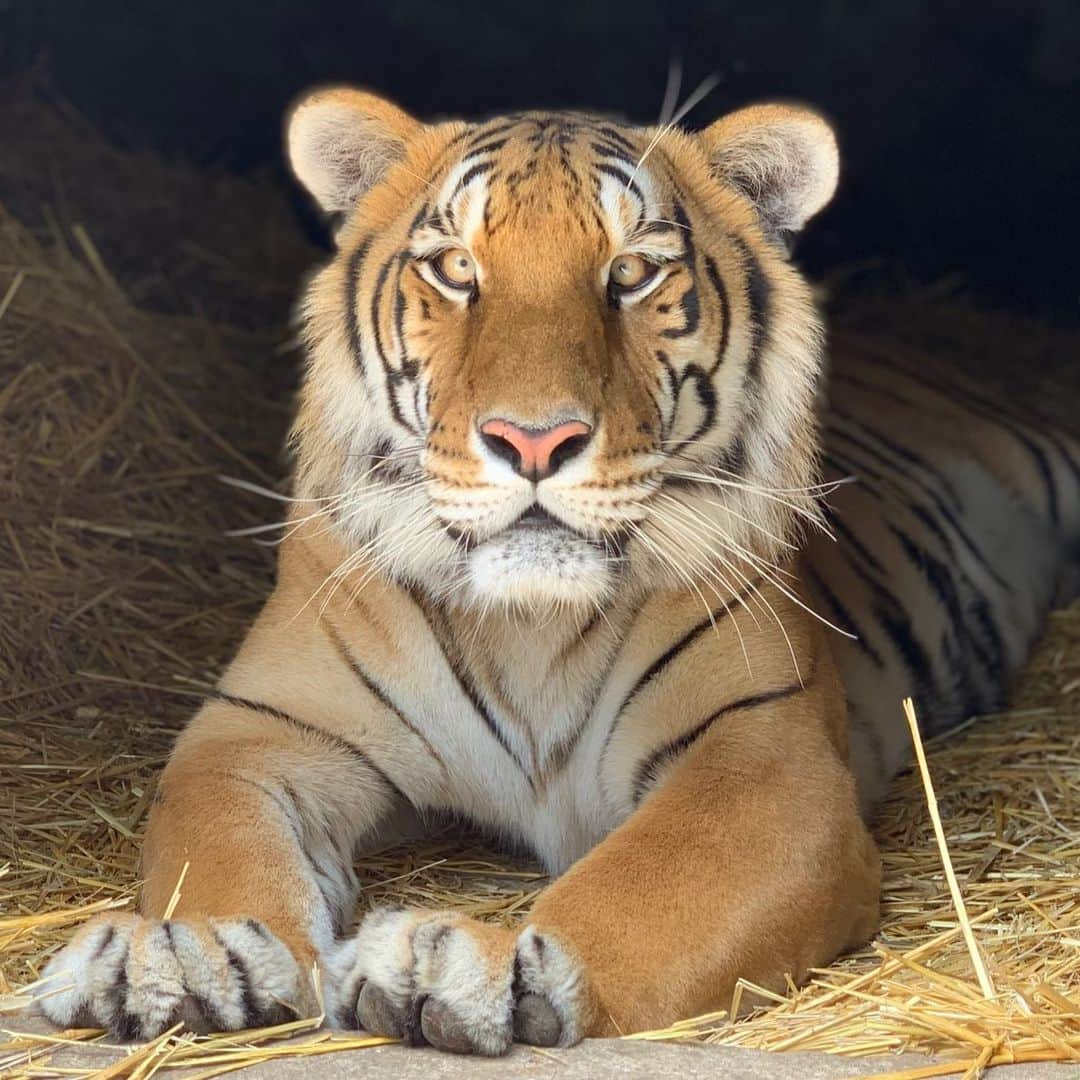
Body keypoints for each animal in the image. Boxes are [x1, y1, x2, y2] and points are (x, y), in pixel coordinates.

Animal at [35, 86, 1080, 1054]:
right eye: (457, 268)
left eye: (633, 272)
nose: (533, 440)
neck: (526, 626)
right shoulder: (258, 730)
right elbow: (213, 842)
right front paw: (190, 958)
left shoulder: (766, 758)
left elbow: (643, 887)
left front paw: (479, 970)